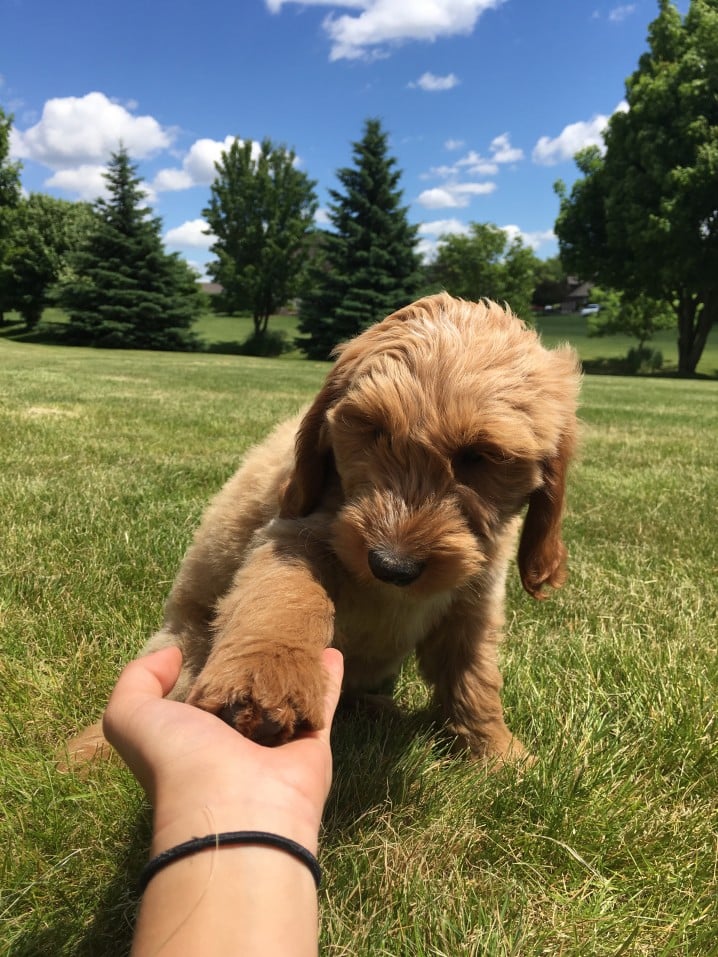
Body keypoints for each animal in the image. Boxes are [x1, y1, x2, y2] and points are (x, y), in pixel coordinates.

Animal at [67, 292, 584, 760]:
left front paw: (497, 755)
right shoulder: (295, 533)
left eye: (480, 457)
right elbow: (287, 596)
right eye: (373, 430)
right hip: (188, 645)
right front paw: (264, 678)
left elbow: (473, 674)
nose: (391, 565)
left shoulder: (476, 594)